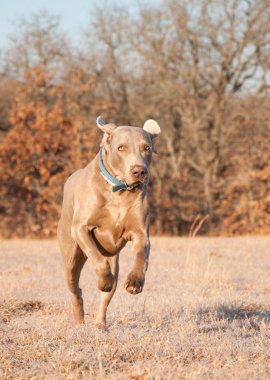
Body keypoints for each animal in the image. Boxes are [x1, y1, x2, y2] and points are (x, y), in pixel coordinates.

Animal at [57, 115, 160, 326]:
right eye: (121, 148)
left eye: (146, 147)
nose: (139, 171)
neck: (118, 190)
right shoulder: (81, 228)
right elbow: (98, 261)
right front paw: (103, 281)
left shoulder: (141, 233)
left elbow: (141, 255)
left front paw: (135, 282)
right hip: (70, 256)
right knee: (76, 290)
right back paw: (79, 320)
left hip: (115, 261)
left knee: (107, 294)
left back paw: (100, 324)